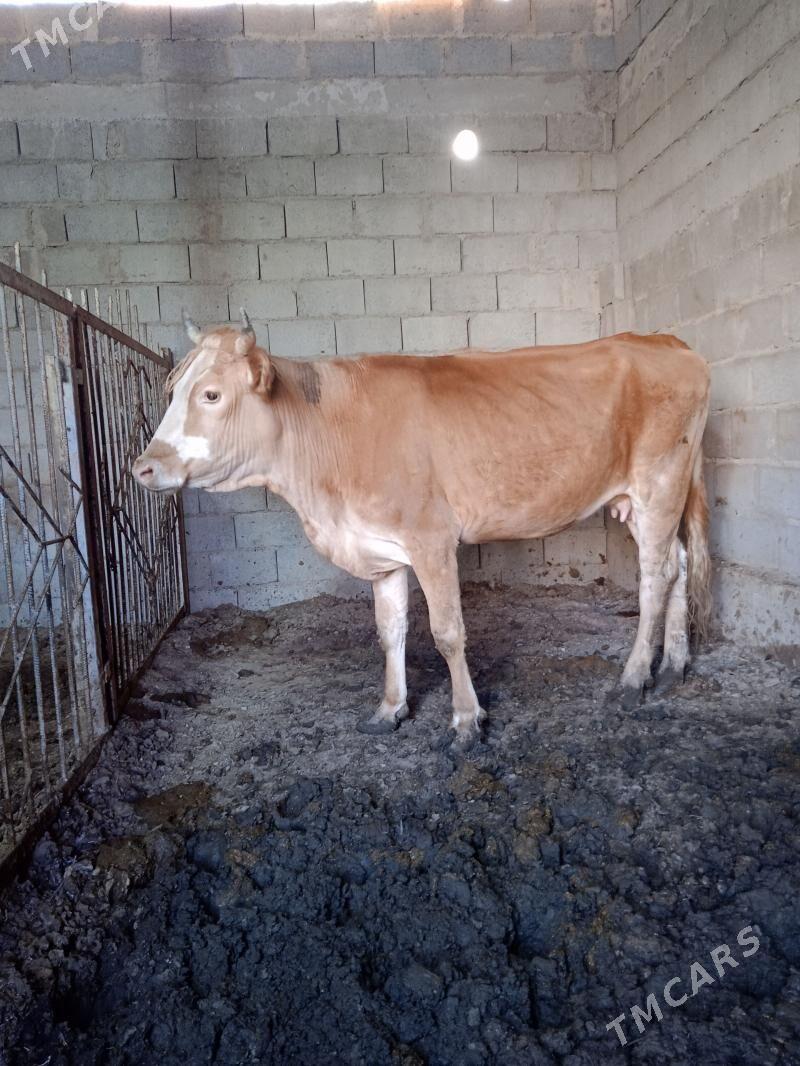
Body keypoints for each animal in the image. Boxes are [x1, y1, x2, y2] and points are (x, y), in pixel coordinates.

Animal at [133, 311, 711, 752]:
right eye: (172, 390)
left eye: (210, 395)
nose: (142, 467)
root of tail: (666, 341)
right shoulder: (380, 549)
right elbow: (389, 632)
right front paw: (390, 708)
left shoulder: (432, 539)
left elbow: (448, 633)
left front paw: (466, 721)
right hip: (651, 497)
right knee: (679, 563)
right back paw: (673, 666)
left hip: (658, 482)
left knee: (655, 577)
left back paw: (633, 679)